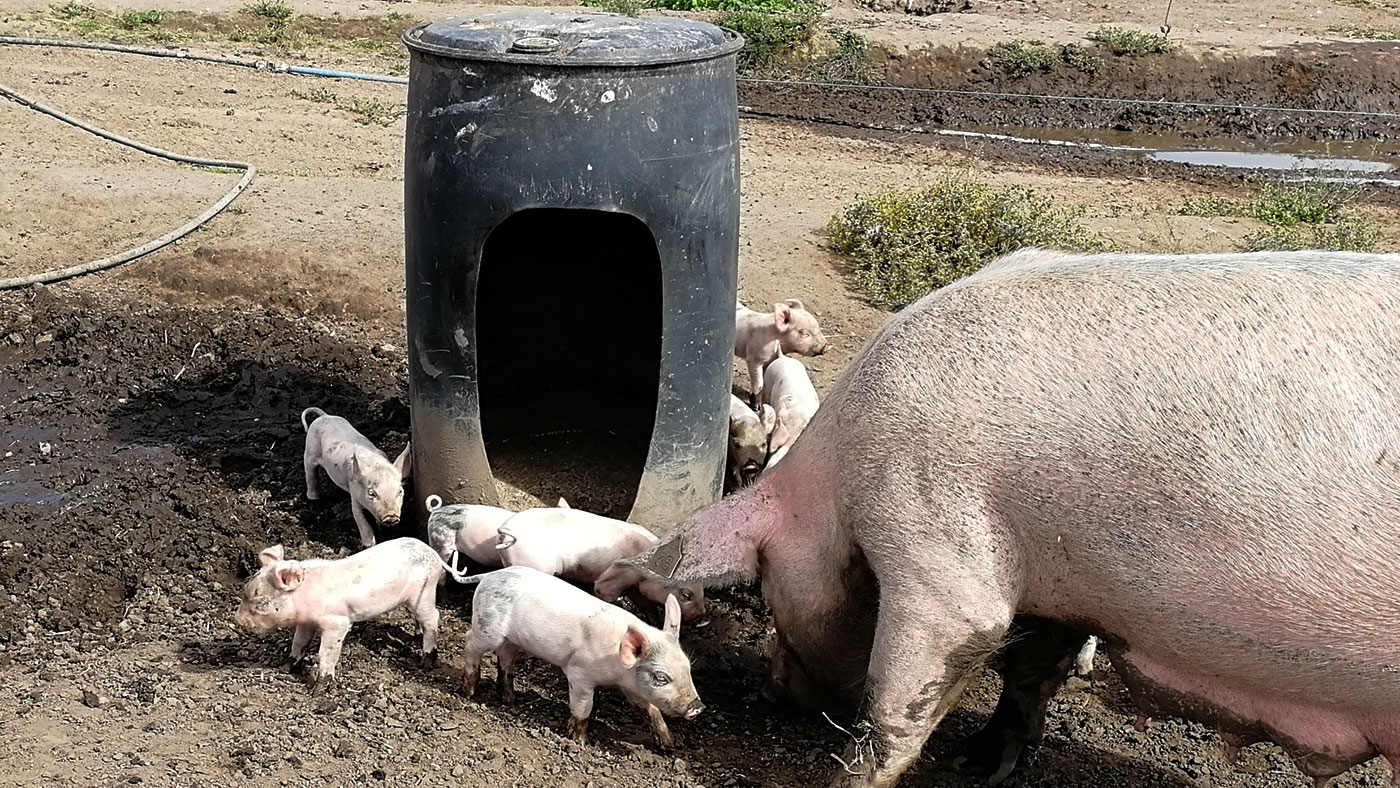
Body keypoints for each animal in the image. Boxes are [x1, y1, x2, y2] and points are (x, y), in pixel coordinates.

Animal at [624, 253, 1400, 788]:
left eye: (770, 588)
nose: (773, 689)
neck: (836, 475)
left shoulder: (937, 546)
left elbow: (902, 705)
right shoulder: (1055, 581)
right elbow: (1030, 671)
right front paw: (976, 766)